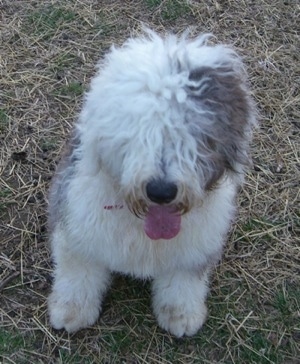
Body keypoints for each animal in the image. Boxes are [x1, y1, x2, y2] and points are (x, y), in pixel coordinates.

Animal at [47, 29, 255, 336]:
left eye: (193, 136)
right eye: (137, 133)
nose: (161, 191)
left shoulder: (196, 248)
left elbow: (183, 281)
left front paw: (182, 315)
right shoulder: (76, 225)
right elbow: (77, 269)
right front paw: (72, 310)